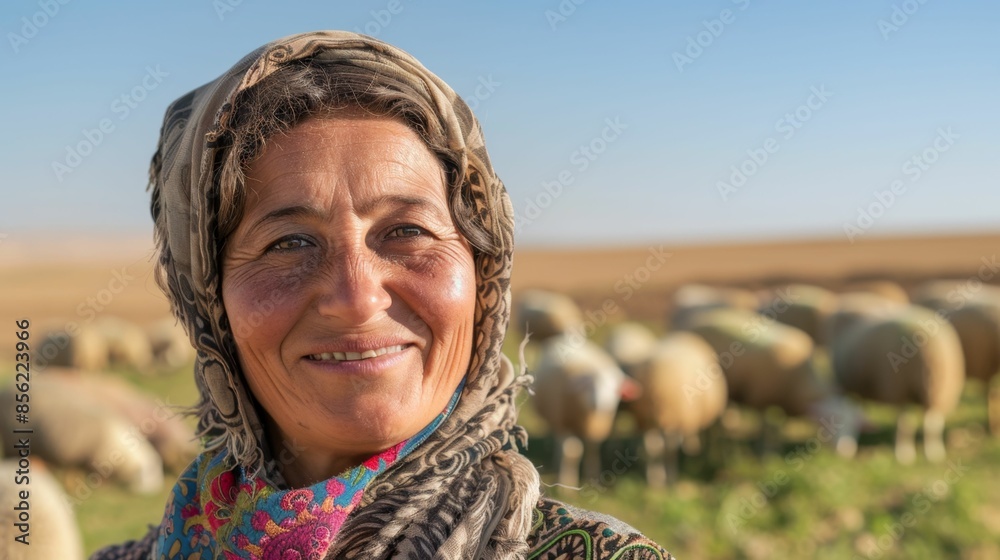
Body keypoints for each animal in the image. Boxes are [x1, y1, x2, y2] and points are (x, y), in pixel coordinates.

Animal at [0, 376, 164, 494]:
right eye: (150, 474)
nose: (151, 493)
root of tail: (6, 389)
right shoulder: (97, 460)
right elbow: (99, 477)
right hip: (11, 442)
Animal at [532, 334, 640, 492]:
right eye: (591, 385)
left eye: (616, 388)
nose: (604, 405)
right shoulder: (565, 422)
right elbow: (571, 453)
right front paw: (567, 485)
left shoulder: (595, 428)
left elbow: (592, 449)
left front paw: (593, 478)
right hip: (556, 417)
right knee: (558, 440)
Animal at [628, 332, 724, 486]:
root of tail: (685, 335)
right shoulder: (647, 423)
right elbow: (652, 450)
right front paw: (655, 479)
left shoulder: (674, 421)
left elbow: (669, 450)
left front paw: (671, 478)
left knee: (710, 435)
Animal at [828, 306, 968, 464]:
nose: (837, 451)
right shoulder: (901, 393)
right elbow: (906, 424)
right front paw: (904, 454)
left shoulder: (934, 394)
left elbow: (931, 424)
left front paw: (932, 453)